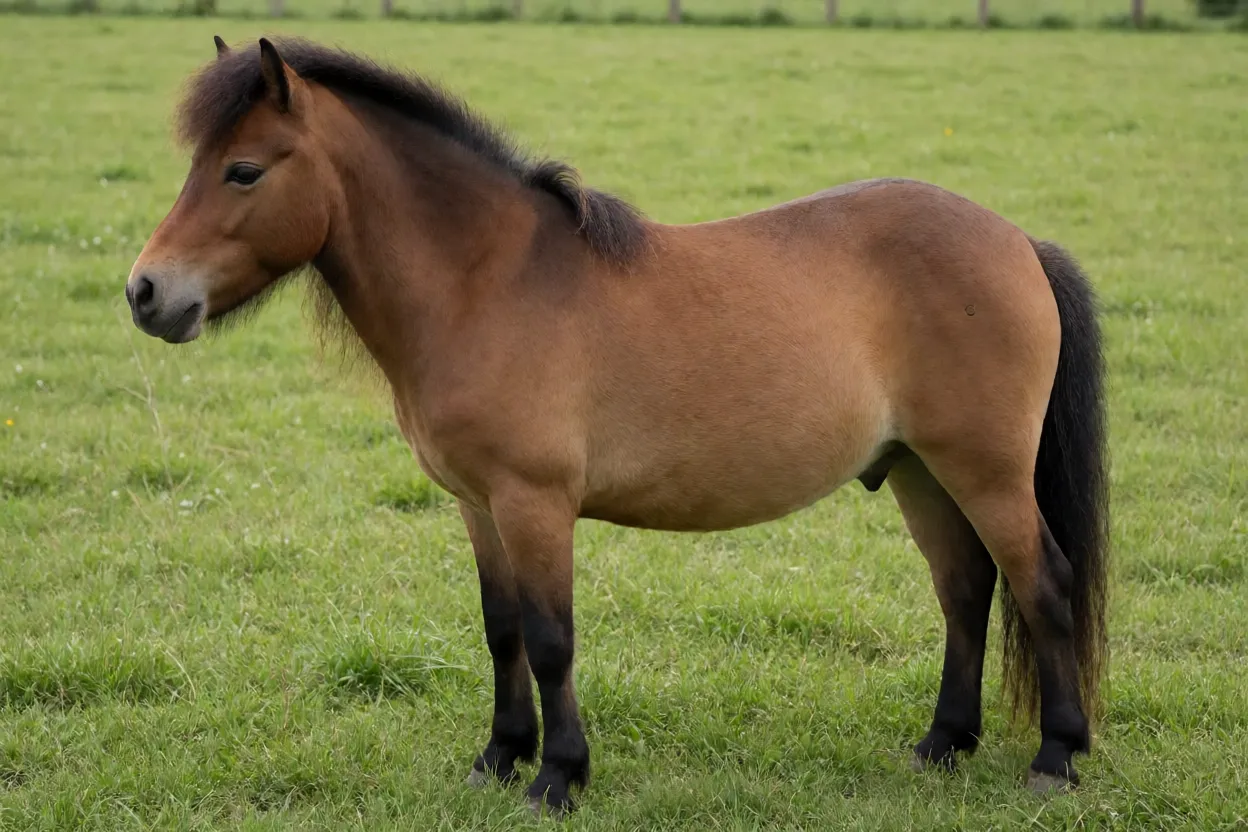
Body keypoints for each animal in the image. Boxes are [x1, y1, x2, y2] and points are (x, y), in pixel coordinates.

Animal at [125, 37, 1109, 816]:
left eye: (245, 170)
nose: (146, 292)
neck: (484, 283)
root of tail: (1018, 243)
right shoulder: (478, 505)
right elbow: (502, 629)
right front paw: (498, 757)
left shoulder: (535, 504)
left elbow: (551, 637)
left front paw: (557, 776)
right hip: (916, 470)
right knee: (965, 590)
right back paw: (942, 744)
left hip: (983, 469)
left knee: (1042, 583)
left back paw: (1056, 757)